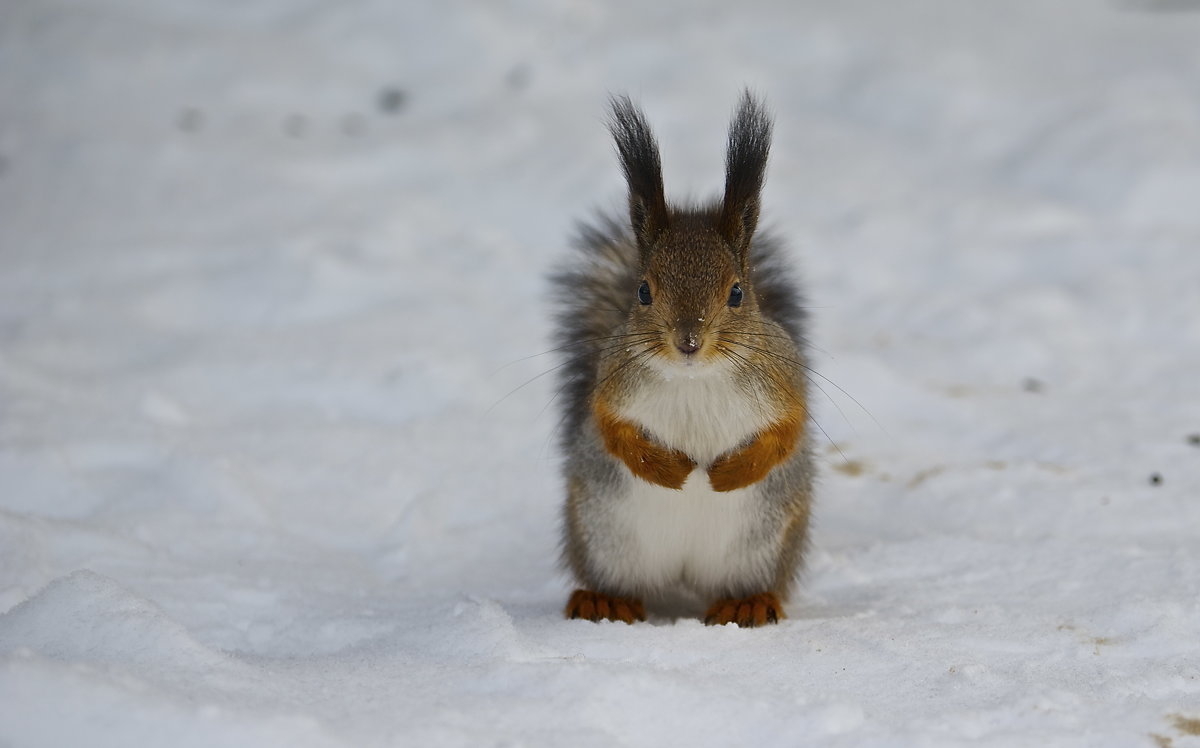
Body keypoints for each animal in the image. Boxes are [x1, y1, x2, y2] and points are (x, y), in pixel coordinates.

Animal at [549, 94, 816, 633]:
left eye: (737, 293)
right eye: (643, 291)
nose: (688, 341)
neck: (695, 377)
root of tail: (684, 574)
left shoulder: (783, 377)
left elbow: (787, 431)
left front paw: (727, 474)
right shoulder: (612, 381)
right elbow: (610, 427)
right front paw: (669, 471)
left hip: (763, 545)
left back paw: (746, 604)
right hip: (603, 537)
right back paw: (605, 601)